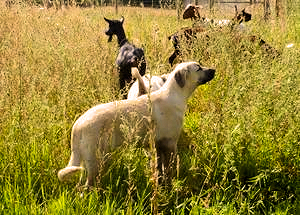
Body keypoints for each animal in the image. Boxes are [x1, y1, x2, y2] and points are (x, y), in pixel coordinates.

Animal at [57, 61, 214, 186]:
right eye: (198, 68)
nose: (214, 69)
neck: (174, 94)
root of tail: (77, 126)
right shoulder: (170, 144)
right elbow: (168, 169)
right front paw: (170, 186)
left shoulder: (158, 145)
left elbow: (160, 168)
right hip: (97, 160)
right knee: (87, 188)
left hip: (88, 161)